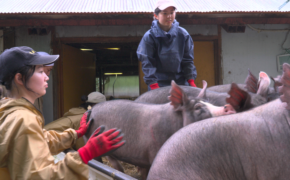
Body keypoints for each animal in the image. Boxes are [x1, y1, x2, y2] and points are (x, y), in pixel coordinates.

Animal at [82, 81, 239, 179]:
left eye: (208, 102)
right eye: (198, 108)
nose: (228, 107)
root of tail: (91, 110)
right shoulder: (153, 151)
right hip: (89, 138)